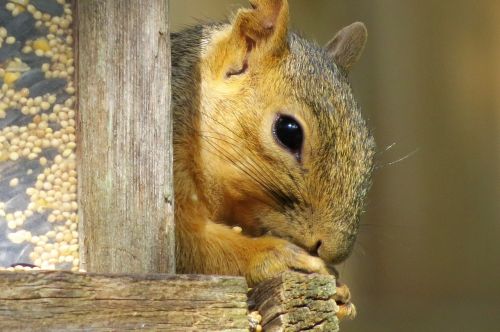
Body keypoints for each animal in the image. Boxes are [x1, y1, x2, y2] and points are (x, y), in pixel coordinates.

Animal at [170, 0, 374, 322]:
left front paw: (341, 291)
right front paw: (277, 256)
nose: (332, 251)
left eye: (369, 146)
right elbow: (189, 246)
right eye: (289, 132)